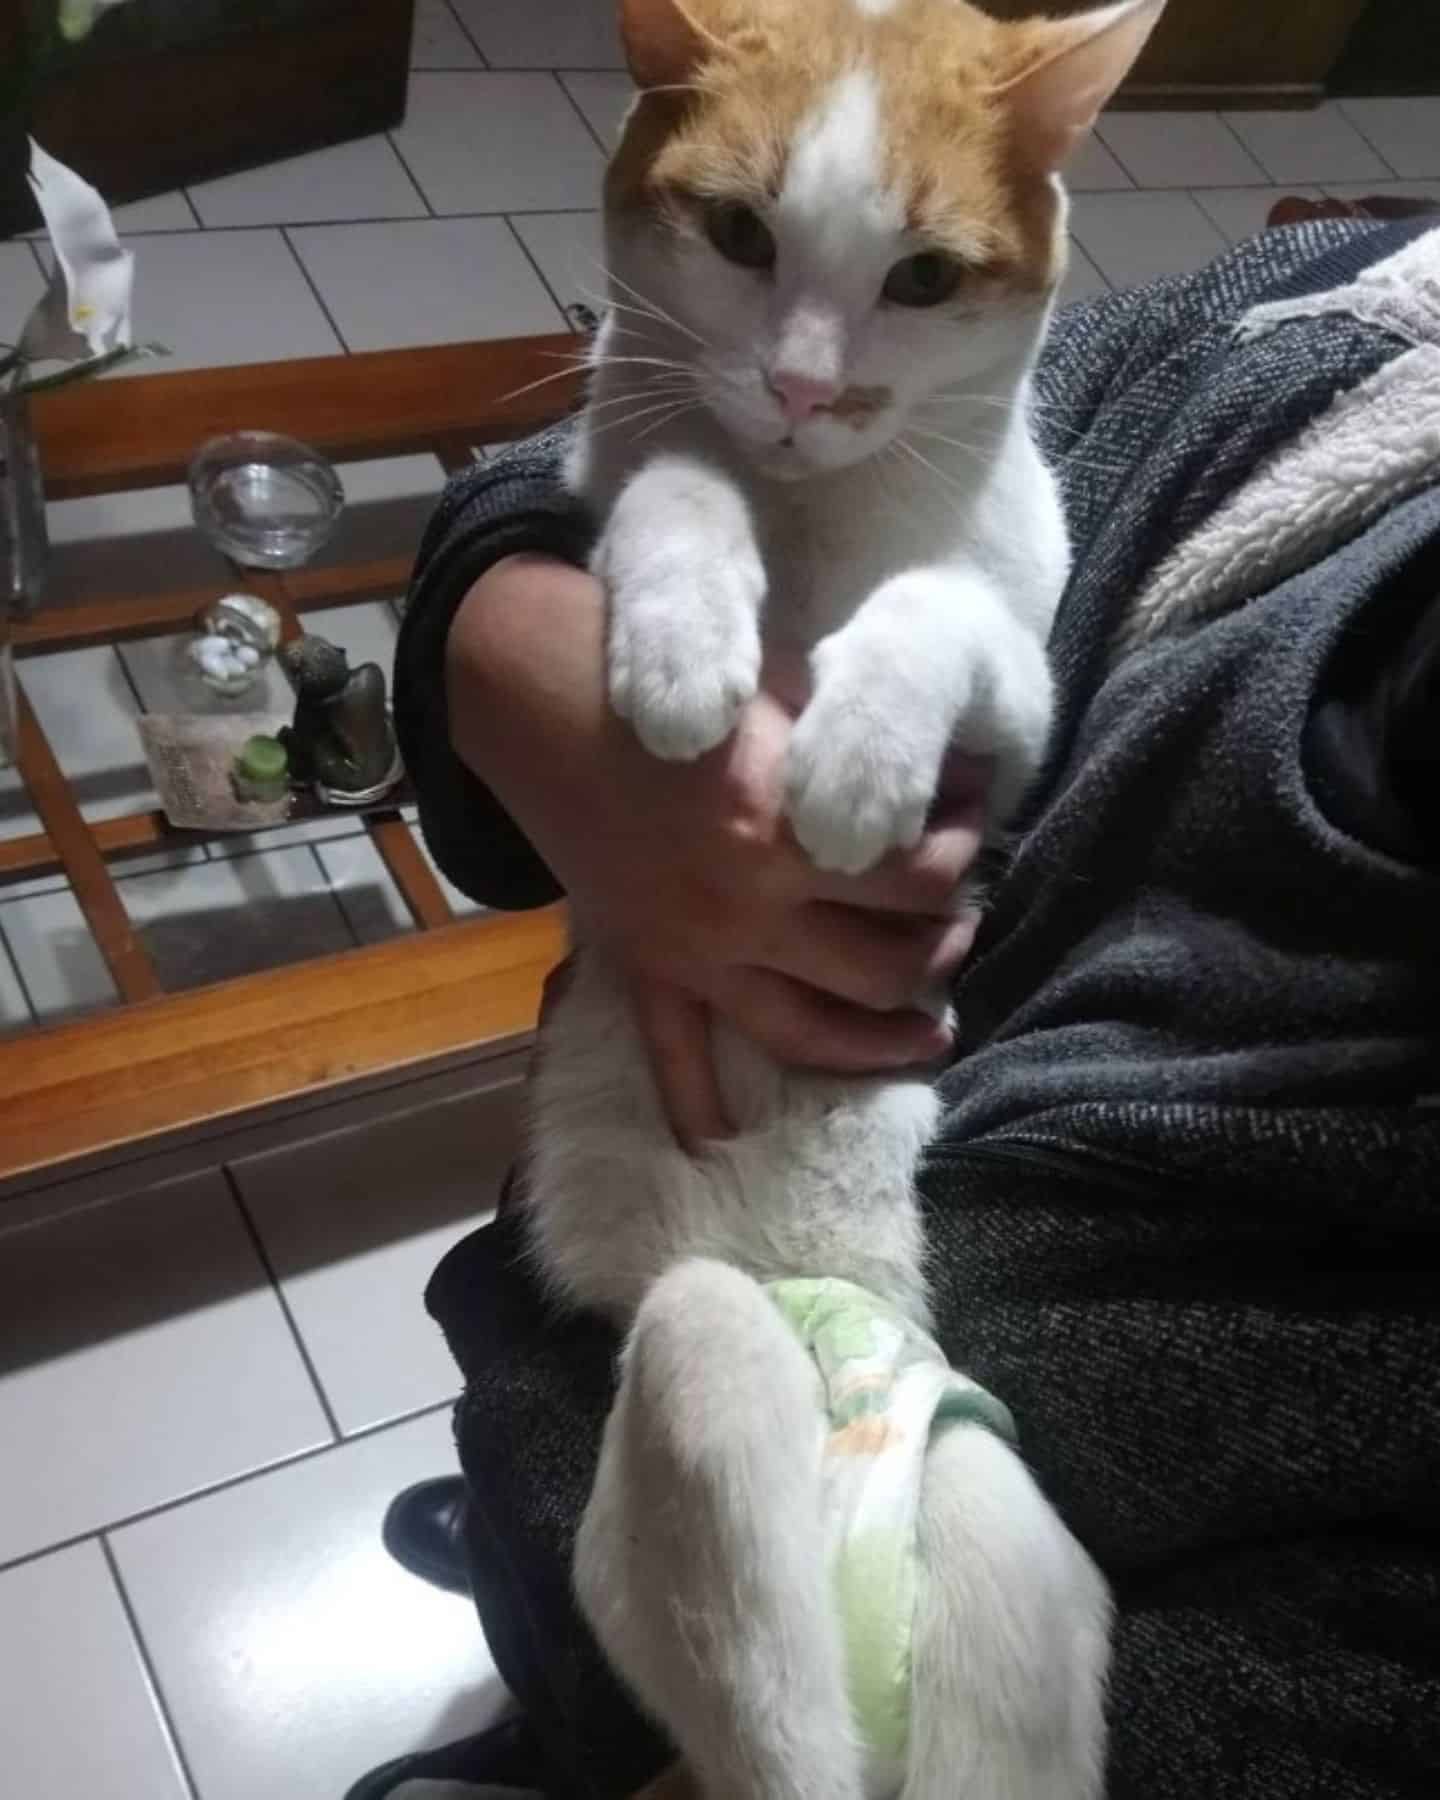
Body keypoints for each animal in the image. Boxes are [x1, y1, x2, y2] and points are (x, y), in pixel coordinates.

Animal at [522, 3, 1166, 1800]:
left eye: (924, 279)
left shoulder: (1018, 699)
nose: (806, 391)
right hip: (695, 1367)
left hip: (994, 1520)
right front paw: (682, 651)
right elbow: (677, 480)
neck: (816, 518)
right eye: (742, 236)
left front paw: (857, 759)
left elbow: (940, 613)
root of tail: (837, 1327)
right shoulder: (622, 466)